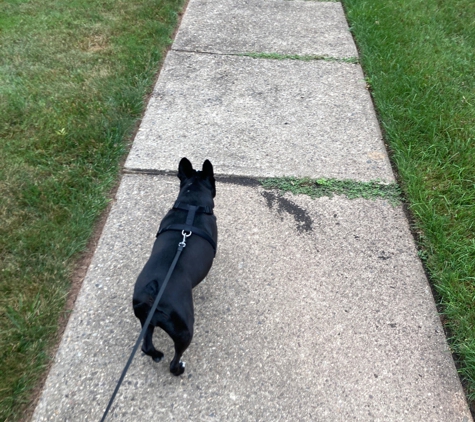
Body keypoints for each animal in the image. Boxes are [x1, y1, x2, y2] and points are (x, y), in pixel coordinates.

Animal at [132, 158, 218, 376]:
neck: (192, 205)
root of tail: (154, 291)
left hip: (145, 320)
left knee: (146, 345)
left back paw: (156, 355)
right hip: (184, 329)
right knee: (175, 359)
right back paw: (178, 368)